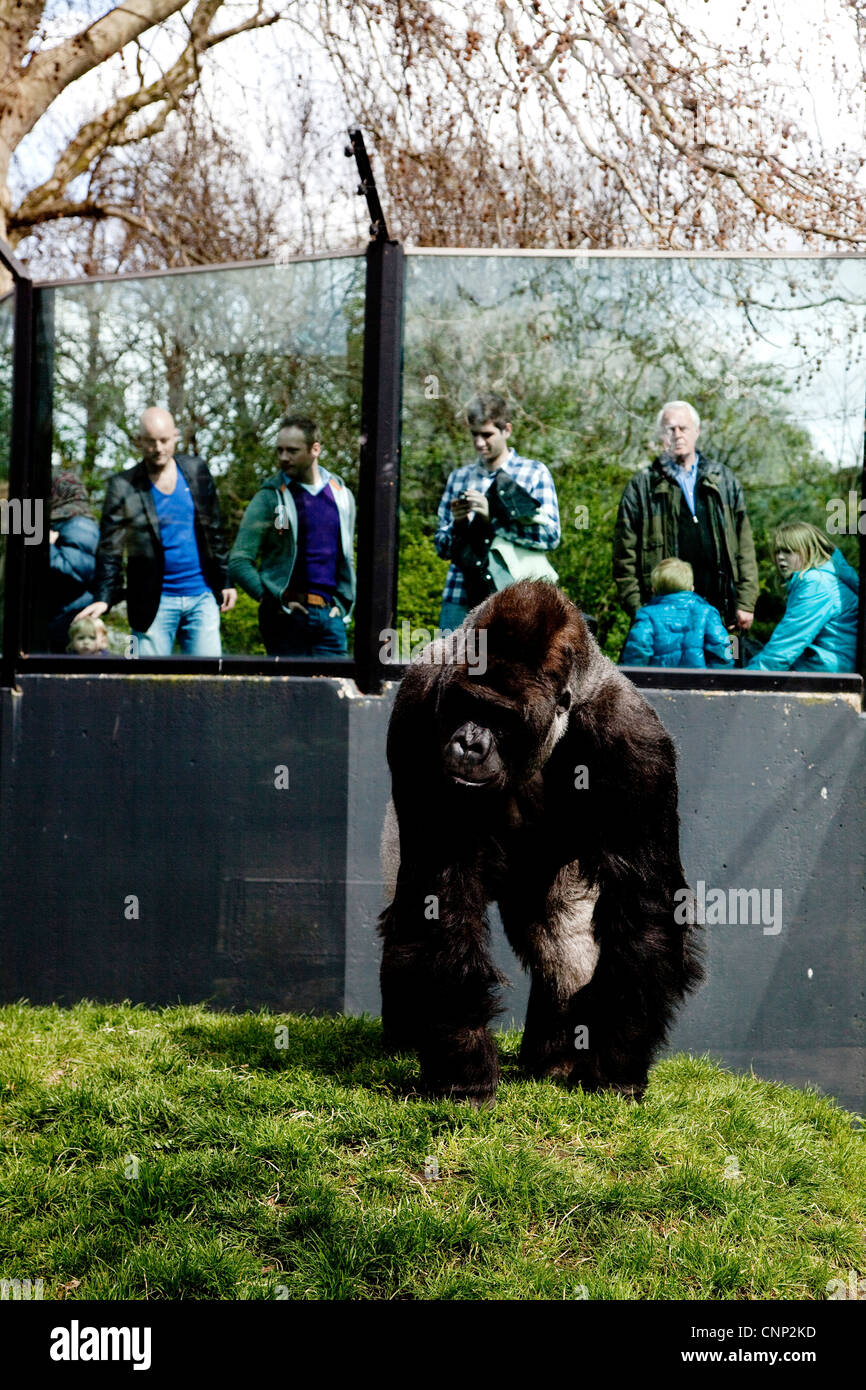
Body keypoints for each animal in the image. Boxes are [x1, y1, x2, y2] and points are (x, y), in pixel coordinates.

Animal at [378, 581, 706, 1100]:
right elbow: (438, 893)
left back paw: (555, 1059)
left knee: (562, 933)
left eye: (501, 718)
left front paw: (617, 1060)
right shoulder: (419, 701)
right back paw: (403, 1035)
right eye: (468, 707)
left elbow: (646, 904)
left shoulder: (636, 741)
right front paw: (462, 1062)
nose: (468, 743)